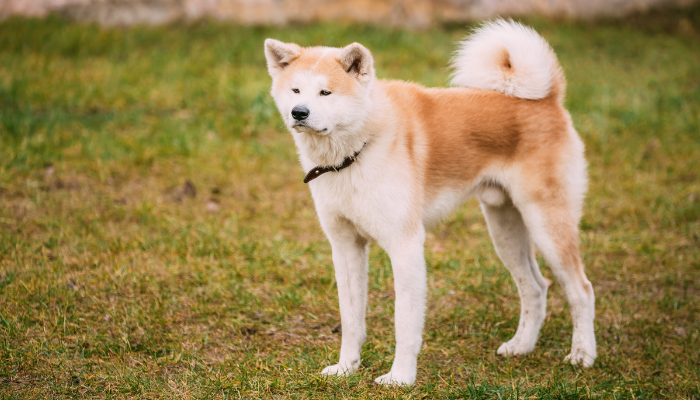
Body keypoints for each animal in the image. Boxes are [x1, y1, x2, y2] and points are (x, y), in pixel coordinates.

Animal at [262, 20, 596, 386]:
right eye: (295, 91)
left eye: (326, 93)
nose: (299, 113)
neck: (359, 149)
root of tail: (548, 98)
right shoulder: (345, 246)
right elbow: (351, 319)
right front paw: (346, 368)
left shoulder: (405, 246)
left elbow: (404, 323)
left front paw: (400, 378)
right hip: (505, 229)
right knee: (535, 287)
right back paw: (521, 346)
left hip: (547, 224)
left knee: (581, 290)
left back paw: (582, 355)